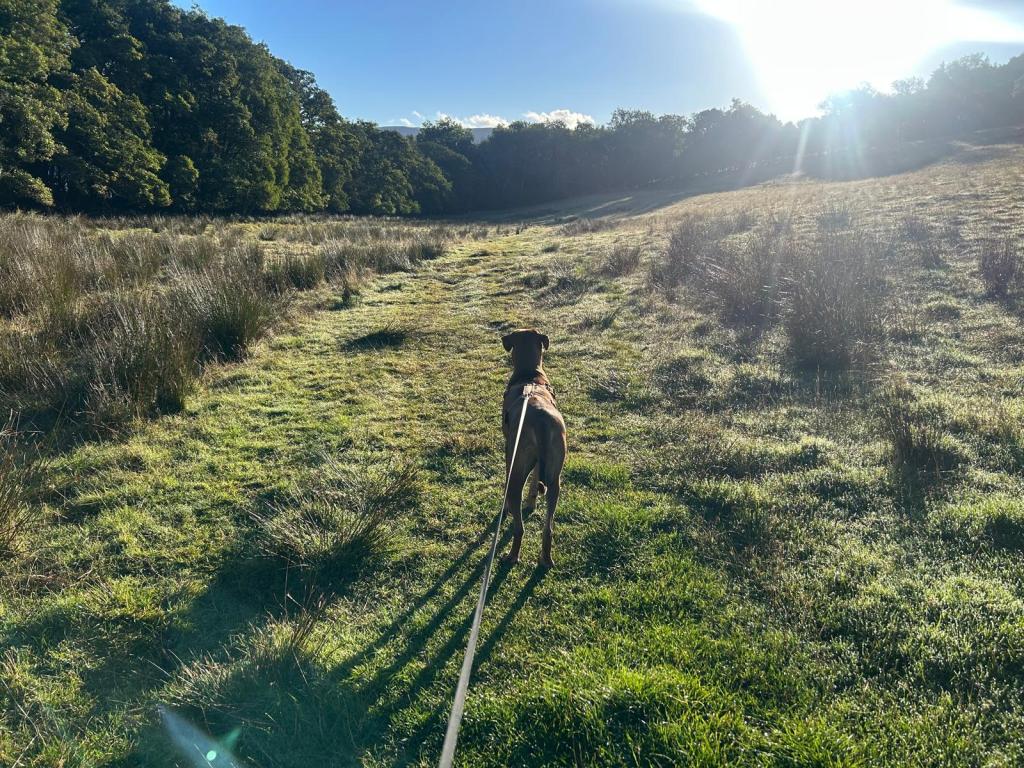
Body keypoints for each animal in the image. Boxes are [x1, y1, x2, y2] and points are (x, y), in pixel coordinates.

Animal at [500, 329, 567, 568]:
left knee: (519, 527)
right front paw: (531, 504)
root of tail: (540, 418)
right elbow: (535, 482)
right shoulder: (540, 463)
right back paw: (546, 560)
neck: (530, 376)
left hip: (516, 472)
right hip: (555, 479)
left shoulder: (510, 454)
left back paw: (512, 556)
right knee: (548, 529)